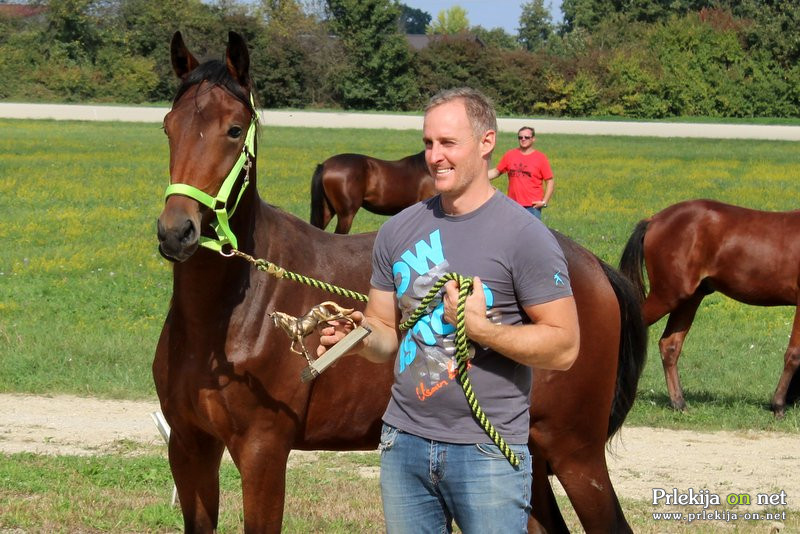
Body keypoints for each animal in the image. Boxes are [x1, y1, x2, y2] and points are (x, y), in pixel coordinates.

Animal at [158, 32, 648, 534]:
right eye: (169, 127)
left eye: (235, 130)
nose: (177, 231)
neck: (227, 319)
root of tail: (589, 265)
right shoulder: (189, 446)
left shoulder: (263, 452)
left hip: (575, 454)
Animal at [620, 200, 800, 418]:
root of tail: (654, 220)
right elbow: (794, 354)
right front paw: (778, 405)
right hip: (668, 296)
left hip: (689, 299)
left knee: (669, 345)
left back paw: (679, 403)